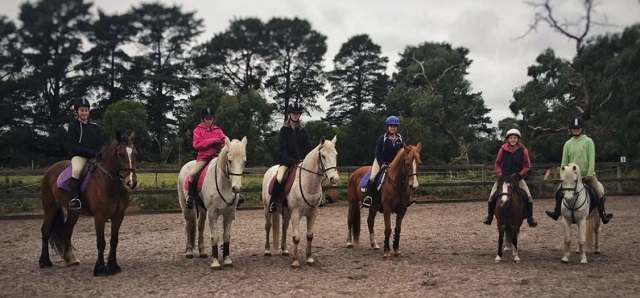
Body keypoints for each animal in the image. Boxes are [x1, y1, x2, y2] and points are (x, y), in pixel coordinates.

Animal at [38, 132, 138, 276]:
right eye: (120, 154)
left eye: (135, 153)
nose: (131, 182)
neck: (110, 184)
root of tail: (50, 169)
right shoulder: (100, 216)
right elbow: (101, 242)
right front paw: (100, 268)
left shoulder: (119, 216)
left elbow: (114, 240)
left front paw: (113, 266)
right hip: (50, 207)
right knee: (45, 231)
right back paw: (44, 261)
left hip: (73, 212)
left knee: (67, 231)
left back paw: (70, 259)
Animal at [178, 137, 248, 270]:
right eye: (229, 161)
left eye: (244, 161)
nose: (236, 188)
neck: (224, 185)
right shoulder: (212, 213)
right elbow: (215, 236)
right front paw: (215, 262)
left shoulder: (229, 213)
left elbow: (226, 236)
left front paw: (227, 260)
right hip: (186, 207)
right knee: (188, 225)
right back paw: (189, 251)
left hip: (202, 210)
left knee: (200, 227)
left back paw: (202, 251)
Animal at [262, 135, 340, 268]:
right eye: (323, 156)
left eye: (336, 155)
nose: (334, 178)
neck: (308, 184)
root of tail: (270, 170)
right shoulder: (296, 214)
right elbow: (296, 238)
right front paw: (295, 261)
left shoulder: (313, 214)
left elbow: (309, 236)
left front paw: (309, 258)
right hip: (267, 208)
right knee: (268, 226)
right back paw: (267, 250)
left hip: (287, 212)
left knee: (284, 227)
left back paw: (284, 250)